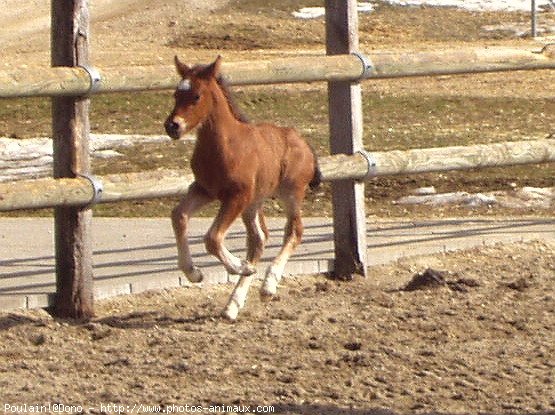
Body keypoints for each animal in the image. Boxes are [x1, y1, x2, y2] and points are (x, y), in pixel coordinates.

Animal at [164, 56, 322, 322]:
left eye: (196, 96)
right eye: (175, 94)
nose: (172, 126)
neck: (226, 146)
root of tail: (304, 142)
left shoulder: (237, 196)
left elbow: (212, 238)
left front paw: (239, 266)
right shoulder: (204, 190)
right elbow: (179, 216)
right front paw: (194, 272)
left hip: (290, 192)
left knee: (294, 231)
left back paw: (267, 285)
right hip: (254, 202)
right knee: (259, 239)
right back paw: (233, 305)